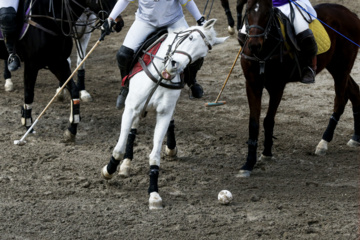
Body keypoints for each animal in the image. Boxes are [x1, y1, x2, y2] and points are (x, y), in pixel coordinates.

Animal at [0, 0, 118, 142]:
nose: (119, 23)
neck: (50, 16)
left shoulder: (57, 62)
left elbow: (74, 89)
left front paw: (71, 129)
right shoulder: (32, 64)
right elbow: (29, 94)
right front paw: (28, 125)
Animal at [100, 19, 226, 209]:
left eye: (200, 57)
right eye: (190, 38)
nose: (174, 65)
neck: (160, 74)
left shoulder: (164, 113)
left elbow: (155, 156)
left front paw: (154, 194)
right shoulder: (131, 108)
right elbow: (119, 148)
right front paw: (109, 170)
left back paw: (171, 149)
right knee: (132, 129)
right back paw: (126, 165)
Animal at [239, 0, 360, 177]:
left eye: (267, 13)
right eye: (247, 11)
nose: (254, 45)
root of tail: (351, 14)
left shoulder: (277, 86)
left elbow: (268, 120)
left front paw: (267, 153)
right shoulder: (252, 84)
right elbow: (253, 123)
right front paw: (248, 163)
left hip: (342, 66)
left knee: (340, 100)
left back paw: (323, 143)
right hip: (335, 65)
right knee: (354, 91)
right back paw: (356, 137)